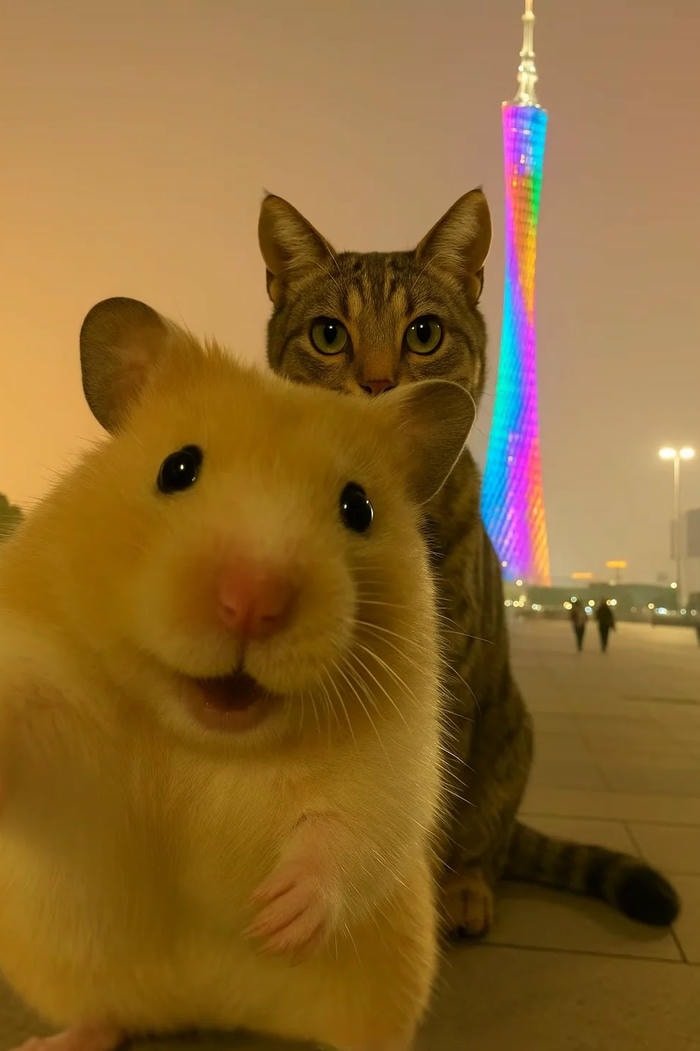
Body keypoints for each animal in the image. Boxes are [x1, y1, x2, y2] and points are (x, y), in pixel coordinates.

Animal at [0, 297, 474, 1051]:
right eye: (177, 467)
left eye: (358, 507)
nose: (254, 601)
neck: (208, 740)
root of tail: (207, 1007)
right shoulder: (51, 704)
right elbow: (28, 736)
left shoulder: (398, 753)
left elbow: (351, 828)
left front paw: (274, 918)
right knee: (105, 1014)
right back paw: (52, 1042)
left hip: (394, 979)